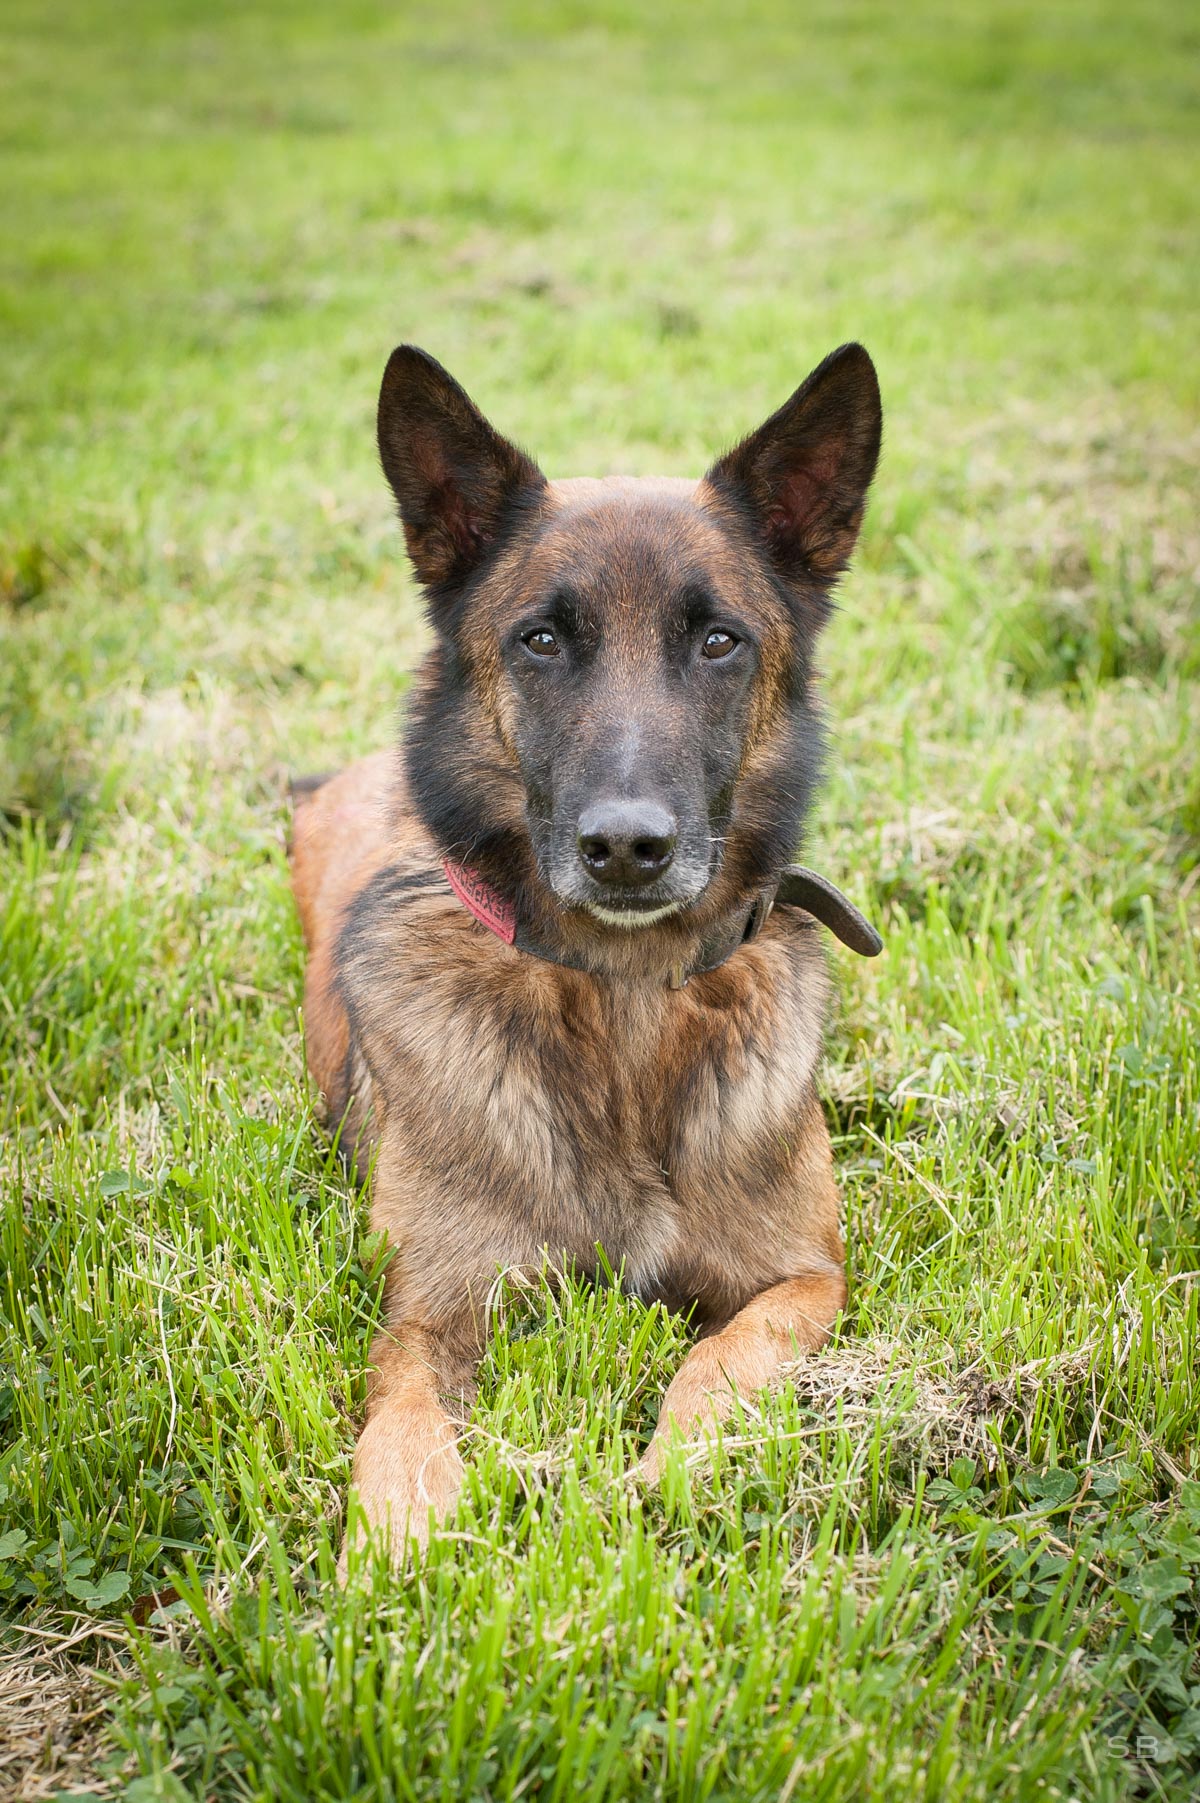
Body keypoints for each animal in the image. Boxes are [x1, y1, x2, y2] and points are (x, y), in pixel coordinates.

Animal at [288, 340, 879, 1565]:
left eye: (719, 641)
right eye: (542, 639)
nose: (626, 849)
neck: (626, 1003)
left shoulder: (804, 1281)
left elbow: (720, 1360)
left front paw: (674, 1471)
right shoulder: (433, 1307)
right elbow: (399, 1422)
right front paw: (399, 1535)